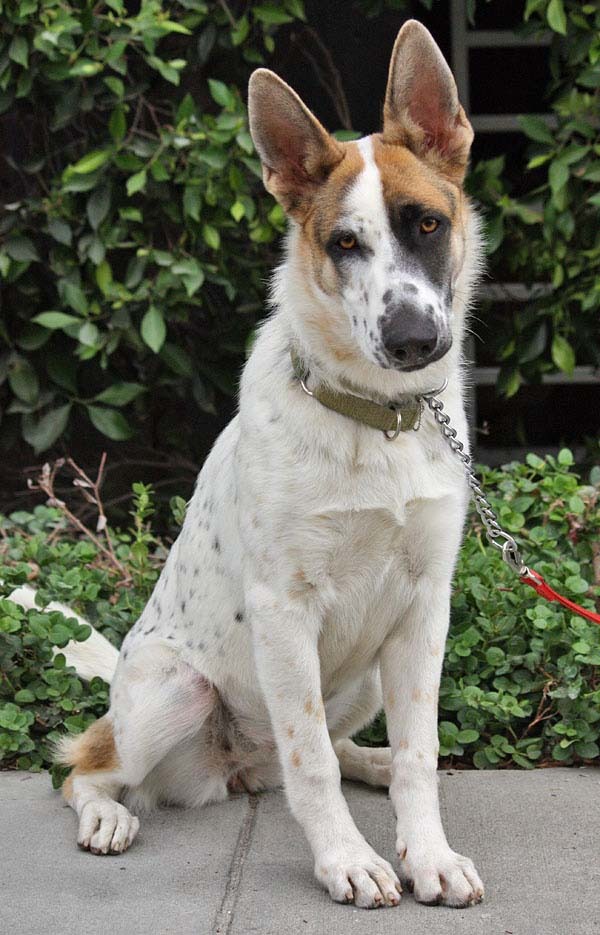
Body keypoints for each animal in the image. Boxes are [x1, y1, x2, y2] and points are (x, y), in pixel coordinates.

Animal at [38, 22, 488, 912]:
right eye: (344, 244)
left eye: (426, 223)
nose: (415, 341)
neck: (375, 418)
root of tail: (235, 766)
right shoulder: (284, 610)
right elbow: (308, 761)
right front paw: (347, 861)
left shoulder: (424, 609)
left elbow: (416, 753)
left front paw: (426, 851)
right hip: (174, 690)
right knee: (91, 766)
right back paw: (106, 813)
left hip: (368, 675)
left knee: (324, 752)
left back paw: (369, 762)